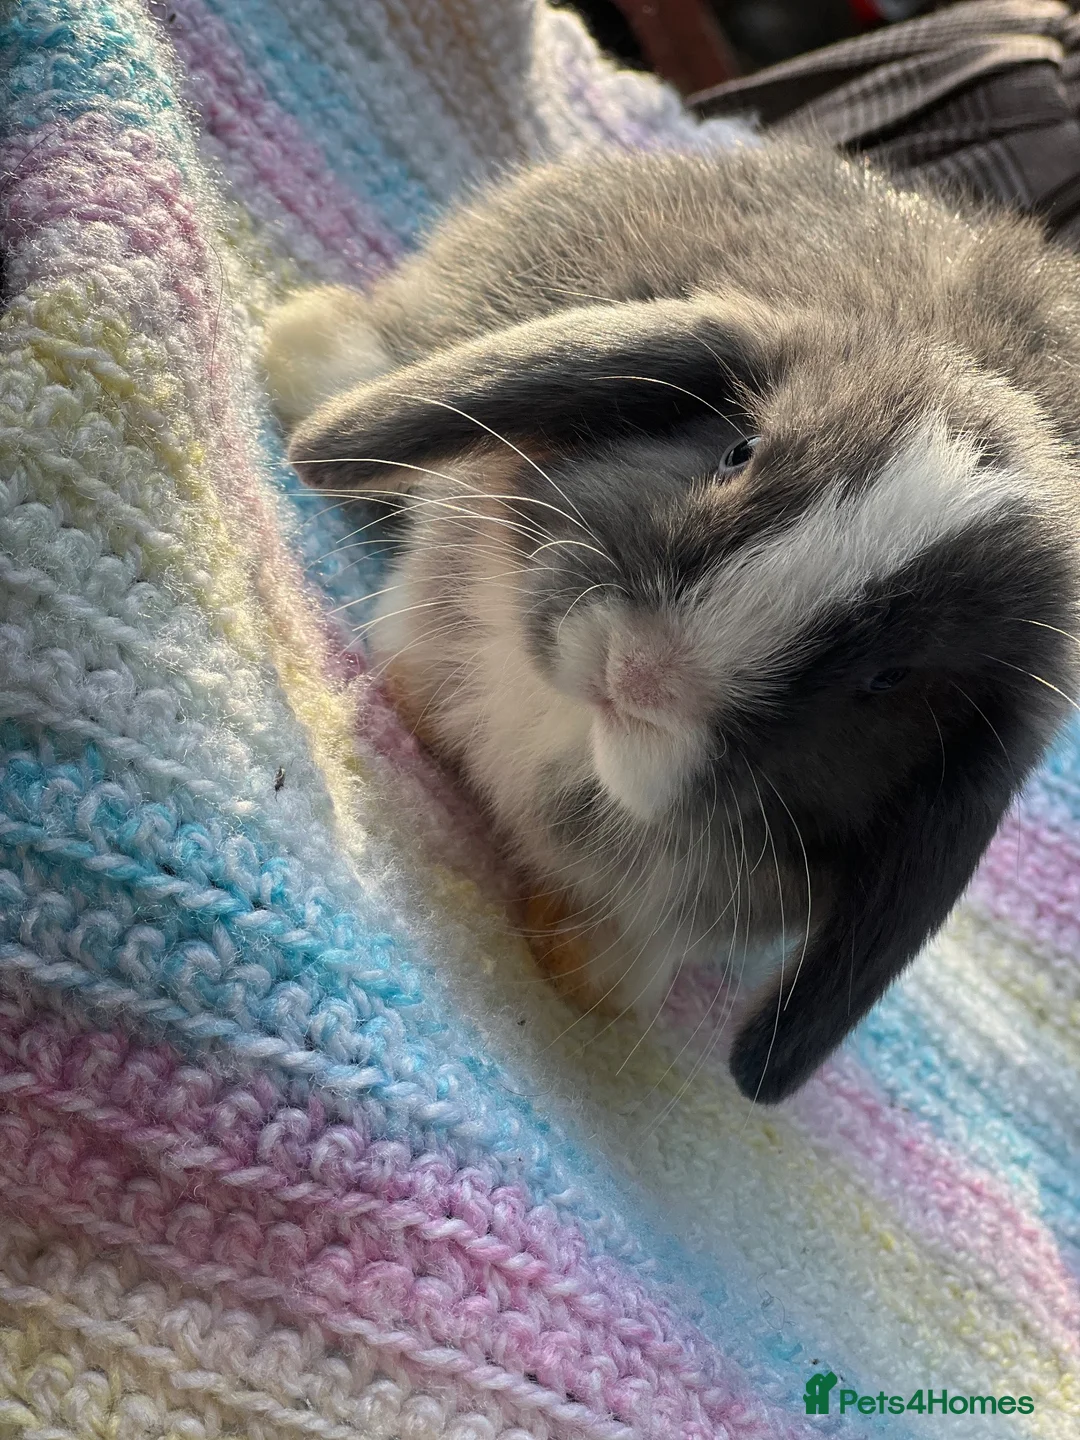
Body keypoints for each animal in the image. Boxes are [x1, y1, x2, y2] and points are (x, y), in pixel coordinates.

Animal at [264, 139, 1080, 1103]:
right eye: (738, 450)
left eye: (891, 679)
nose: (643, 672)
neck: (571, 733)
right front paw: (418, 697)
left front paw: (593, 972)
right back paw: (301, 345)